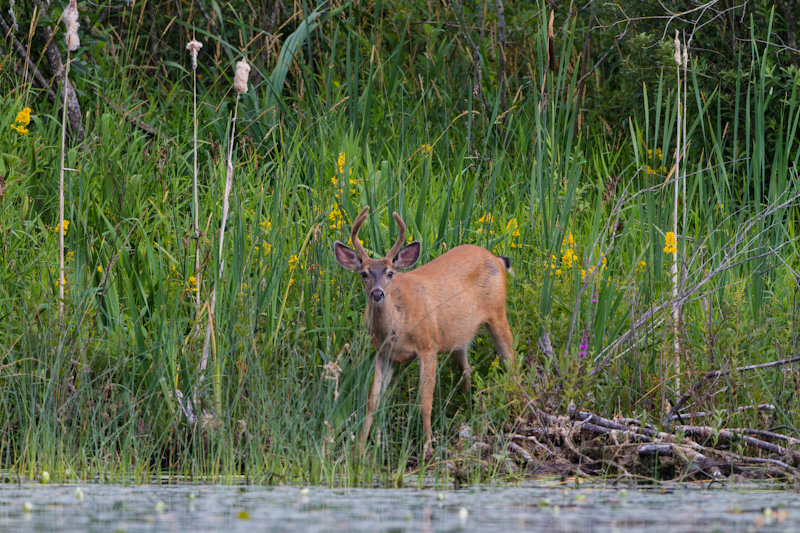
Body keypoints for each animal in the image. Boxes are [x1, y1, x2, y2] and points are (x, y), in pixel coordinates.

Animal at [332, 206, 516, 456]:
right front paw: (358, 450)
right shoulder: (384, 354)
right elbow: (373, 401)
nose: (377, 294)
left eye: (390, 273)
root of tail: (496, 258)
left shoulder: (427, 346)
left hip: (497, 313)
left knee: (510, 360)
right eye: (364, 273)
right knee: (467, 368)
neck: (398, 325)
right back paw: (468, 407)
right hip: (457, 336)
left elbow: (425, 401)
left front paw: (428, 448)